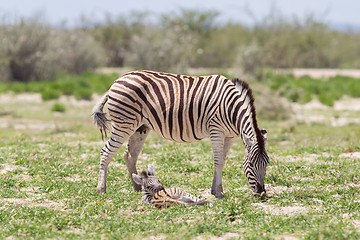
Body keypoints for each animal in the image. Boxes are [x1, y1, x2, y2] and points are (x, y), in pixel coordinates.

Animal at [91, 70, 268, 199]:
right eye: (251, 164)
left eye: (266, 164)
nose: (261, 194)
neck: (231, 109)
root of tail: (117, 80)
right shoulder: (216, 130)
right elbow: (218, 162)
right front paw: (218, 193)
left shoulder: (229, 136)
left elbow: (222, 161)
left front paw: (217, 189)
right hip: (124, 124)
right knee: (106, 152)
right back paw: (101, 189)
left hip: (140, 127)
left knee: (129, 155)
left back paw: (137, 187)